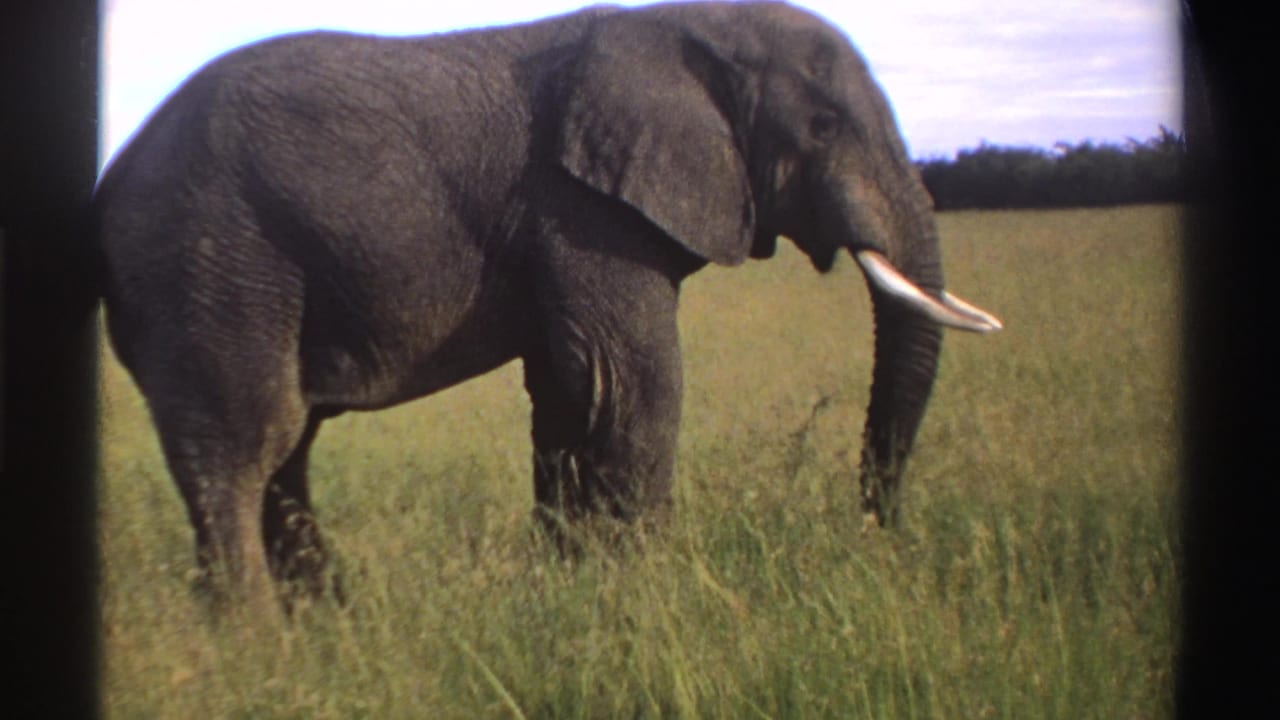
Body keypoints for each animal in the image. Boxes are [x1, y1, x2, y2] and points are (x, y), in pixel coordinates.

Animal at [93, 1, 1000, 608]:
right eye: (822, 125)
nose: (876, 533)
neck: (687, 24)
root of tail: (108, 183)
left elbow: (571, 394)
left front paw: (570, 588)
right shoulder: (582, 208)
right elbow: (630, 384)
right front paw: (647, 597)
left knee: (286, 453)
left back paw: (325, 624)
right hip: (210, 261)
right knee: (246, 443)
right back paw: (259, 640)